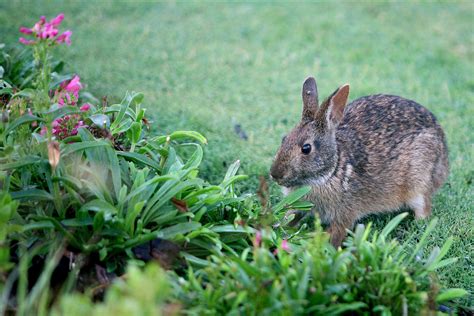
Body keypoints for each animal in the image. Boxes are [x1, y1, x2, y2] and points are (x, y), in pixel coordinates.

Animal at [270, 76, 448, 247]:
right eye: (284, 138)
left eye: (306, 148)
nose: (275, 174)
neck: (332, 171)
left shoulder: (345, 213)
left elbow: (336, 233)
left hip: (419, 181)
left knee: (423, 207)